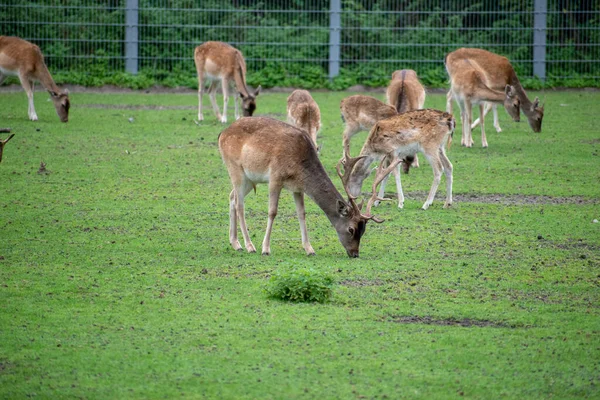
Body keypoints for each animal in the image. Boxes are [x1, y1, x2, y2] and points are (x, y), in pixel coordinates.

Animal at [218, 117, 396, 258]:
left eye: (364, 230)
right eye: (351, 229)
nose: (355, 253)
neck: (298, 163)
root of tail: (221, 134)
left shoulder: (297, 188)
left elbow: (301, 214)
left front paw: (309, 249)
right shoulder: (275, 177)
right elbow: (272, 212)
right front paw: (266, 249)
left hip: (250, 179)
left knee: (232, 196)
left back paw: (235, 243)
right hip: (235, 169)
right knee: (240, 205)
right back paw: (249, 246)